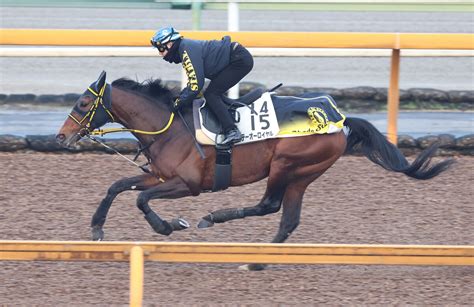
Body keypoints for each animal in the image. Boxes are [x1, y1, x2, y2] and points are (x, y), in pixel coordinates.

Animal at [57, 73, 454, 270]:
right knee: (287, 219)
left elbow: (141, 200)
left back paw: (214, 220)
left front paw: (169, 225)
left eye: (83, 102)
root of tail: (339, 119)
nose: (61, 137)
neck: (169, 126)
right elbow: (117, 185)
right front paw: (96, 228)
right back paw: (258, 262)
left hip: (288, 166)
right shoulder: (159, 175)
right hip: (302, 174)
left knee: (270, 207)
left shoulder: (187, 184)